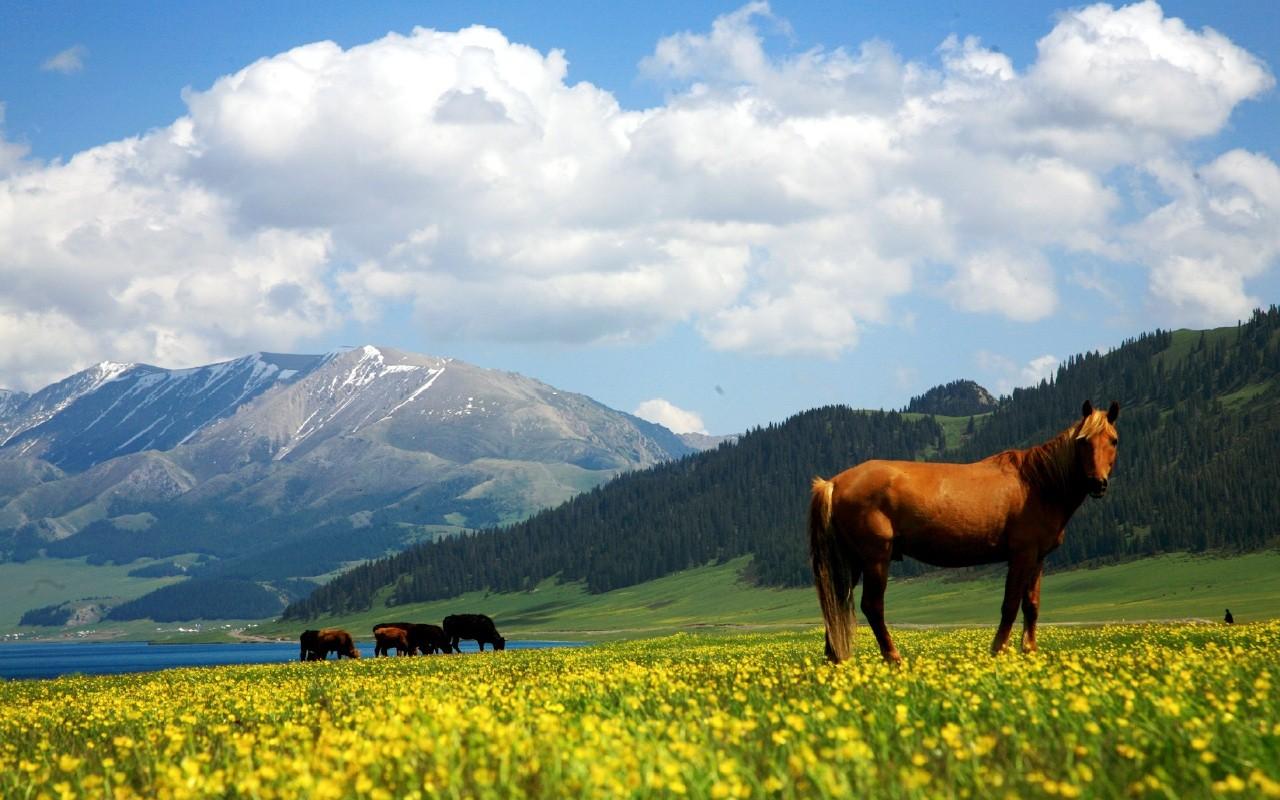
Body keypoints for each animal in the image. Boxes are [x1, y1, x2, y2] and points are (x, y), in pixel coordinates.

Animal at [808, 399, 1121, 660]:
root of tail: (833, 483)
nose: (1098, 484)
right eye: (1083, 441)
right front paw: (997, 651)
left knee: (835, 606)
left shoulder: (1038, 558)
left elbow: (1031, 605)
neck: (1037, 484)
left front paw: (1030, 652)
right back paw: (893, 658)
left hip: (850, 562)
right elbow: (1010, 605)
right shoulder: (1021, 555)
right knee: (872, 606)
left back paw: (835, 661)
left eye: (1113, 441)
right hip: (875, 559)